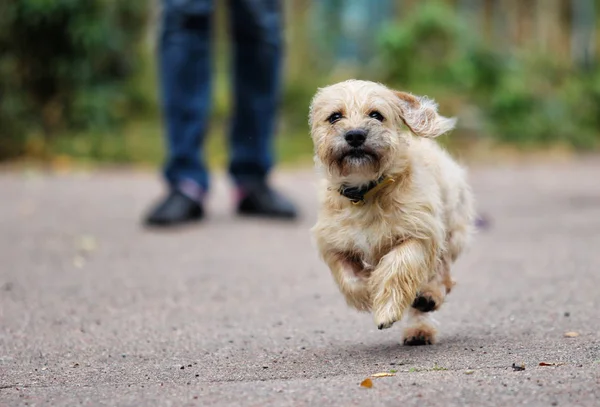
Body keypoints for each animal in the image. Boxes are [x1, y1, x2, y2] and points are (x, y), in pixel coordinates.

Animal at [310, 80, 474, 348]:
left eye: (376, 115)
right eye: (335, 117)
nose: (355, 135)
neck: (366, 191)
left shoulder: (419, 234)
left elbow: (398, 268)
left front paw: (386, 309)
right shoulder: (336, 245)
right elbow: (351, 279)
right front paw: (369, 290)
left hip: (451, 231)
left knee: (442, 272)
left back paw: (427, 302)